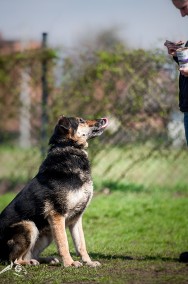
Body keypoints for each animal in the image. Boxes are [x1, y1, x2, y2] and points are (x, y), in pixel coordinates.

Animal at [0, 115, 108, 266]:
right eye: (81, 120)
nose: (103, 119)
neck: (68, 147)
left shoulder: (76, 218)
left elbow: (81, 244)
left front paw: (89, 262)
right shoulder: (57, 215)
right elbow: (64, 243)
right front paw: (70, 263)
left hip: (47, 233)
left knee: (29, 254)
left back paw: (46, 259)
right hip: (29, 225)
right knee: (13, 259)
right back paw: (29, 263)